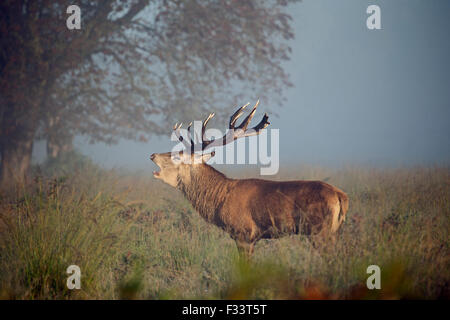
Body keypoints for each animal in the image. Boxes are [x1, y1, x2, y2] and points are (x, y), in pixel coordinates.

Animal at [150, 101, 348, 258]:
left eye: (177, 156)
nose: (152, 155)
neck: (219, 200)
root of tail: (341, 197)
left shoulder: (243, 233)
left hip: (319, 231)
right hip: (332, 232)